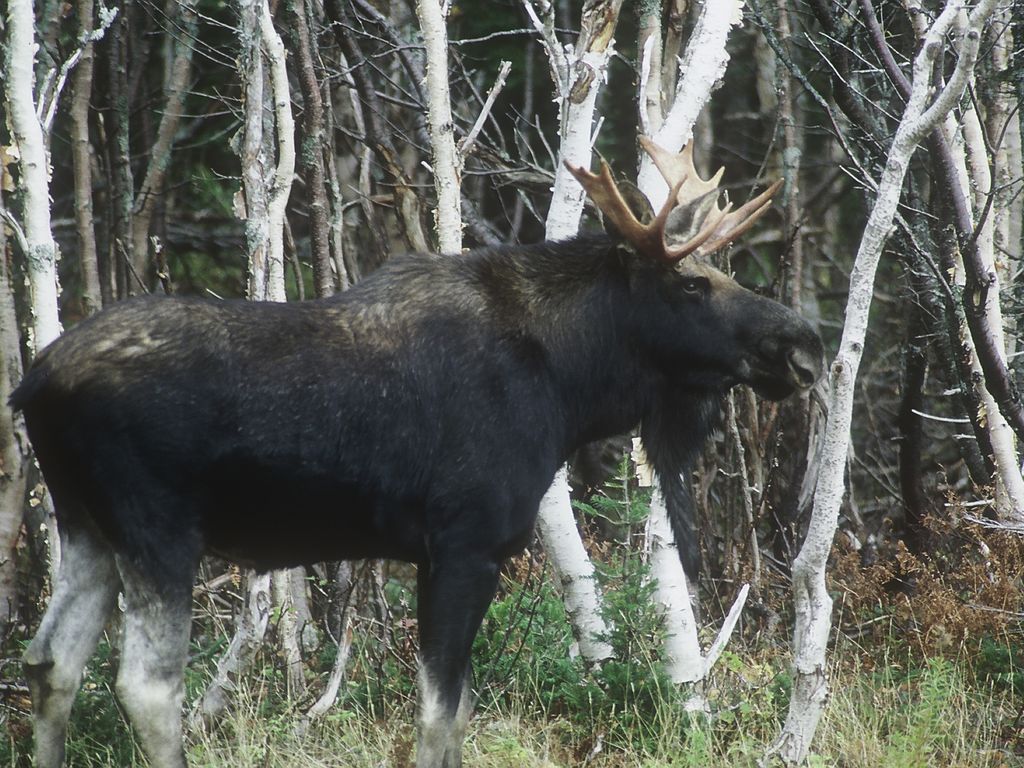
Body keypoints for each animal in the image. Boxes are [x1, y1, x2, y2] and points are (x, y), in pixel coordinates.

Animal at [14, 139, 823, 768]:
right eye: (692, 281)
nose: (804, 345)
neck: (571, 385)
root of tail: (34, 385)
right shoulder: (466, 543)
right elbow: (439, 716)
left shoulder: (440, 555)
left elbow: (453, 715)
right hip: (158, 529)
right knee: (146, 687)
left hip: (85, 527)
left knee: (51, 662)